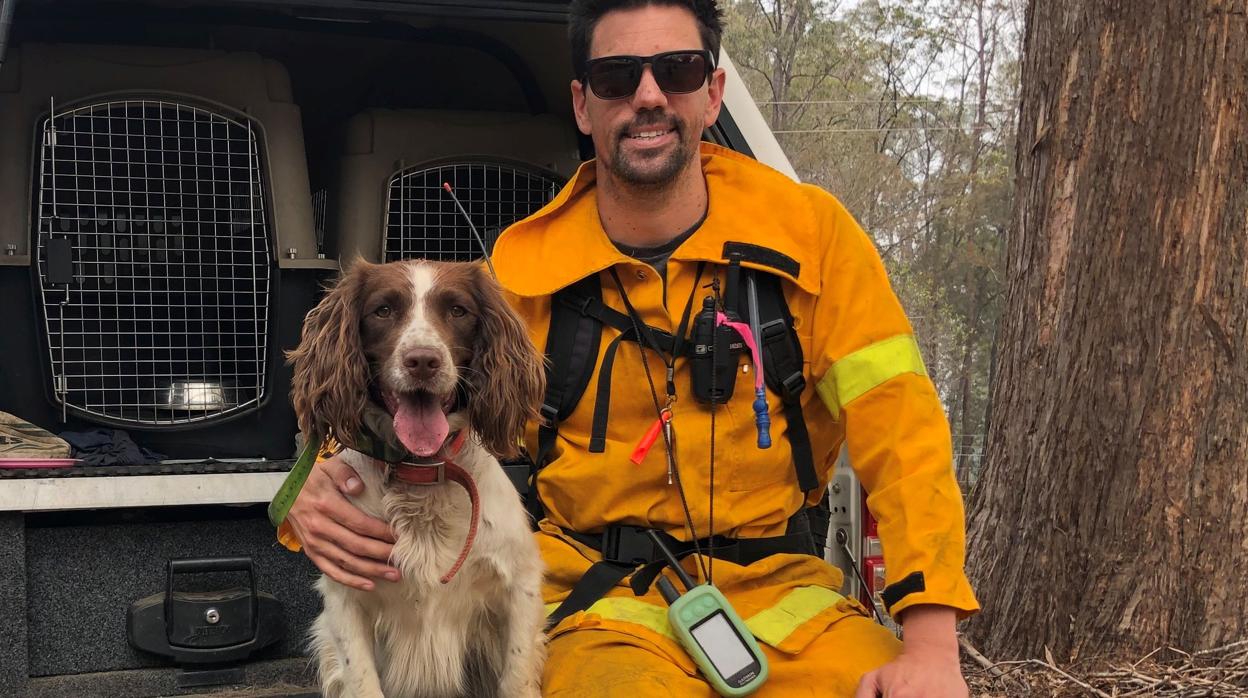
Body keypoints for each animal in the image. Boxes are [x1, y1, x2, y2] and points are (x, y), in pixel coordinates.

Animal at [292, 259, 551, 694]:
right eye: (383, 310)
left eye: (458, 310)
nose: (423, 360)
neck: (422, 470)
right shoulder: (346, 599)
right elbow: (363, 680)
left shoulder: (520, 586)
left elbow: (515, 679)